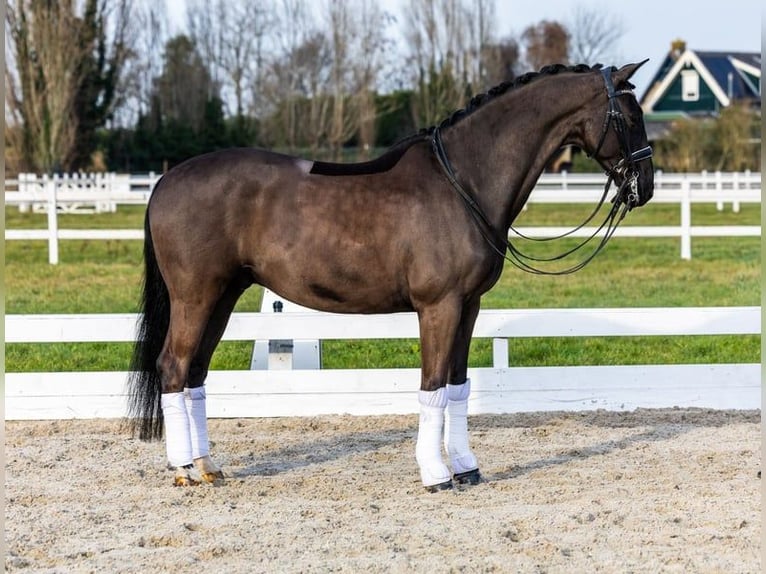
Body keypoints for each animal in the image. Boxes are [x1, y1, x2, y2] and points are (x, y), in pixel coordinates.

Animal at [128, 62, 654, 491]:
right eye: (629, 117)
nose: (644, 187)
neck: (463, 181)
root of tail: (165, 182)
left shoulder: (468, 306)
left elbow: (457, 386)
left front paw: (466, 467)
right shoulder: (439, 306)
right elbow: (433, 386)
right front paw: (436, 474)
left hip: (222, 296)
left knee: (195, 373)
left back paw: (206, 465)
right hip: (196, 297)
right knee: (173, 367)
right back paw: (183, 468)